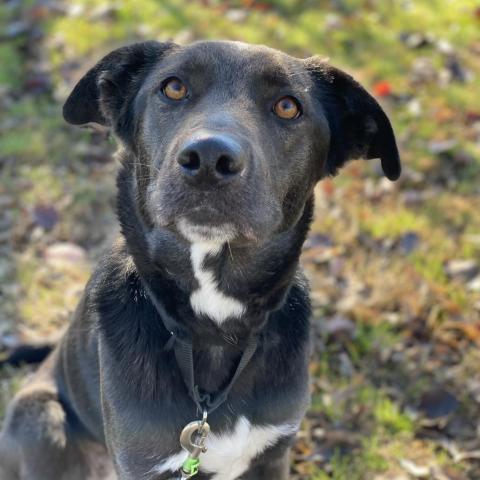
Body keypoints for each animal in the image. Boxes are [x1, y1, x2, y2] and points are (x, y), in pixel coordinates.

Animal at [0, 39, 400, 478]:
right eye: (174, 88)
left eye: (287, 106)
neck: (215, 323)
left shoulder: (273, 454)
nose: (209, 159)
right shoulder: (142, 463)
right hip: (42, 421)